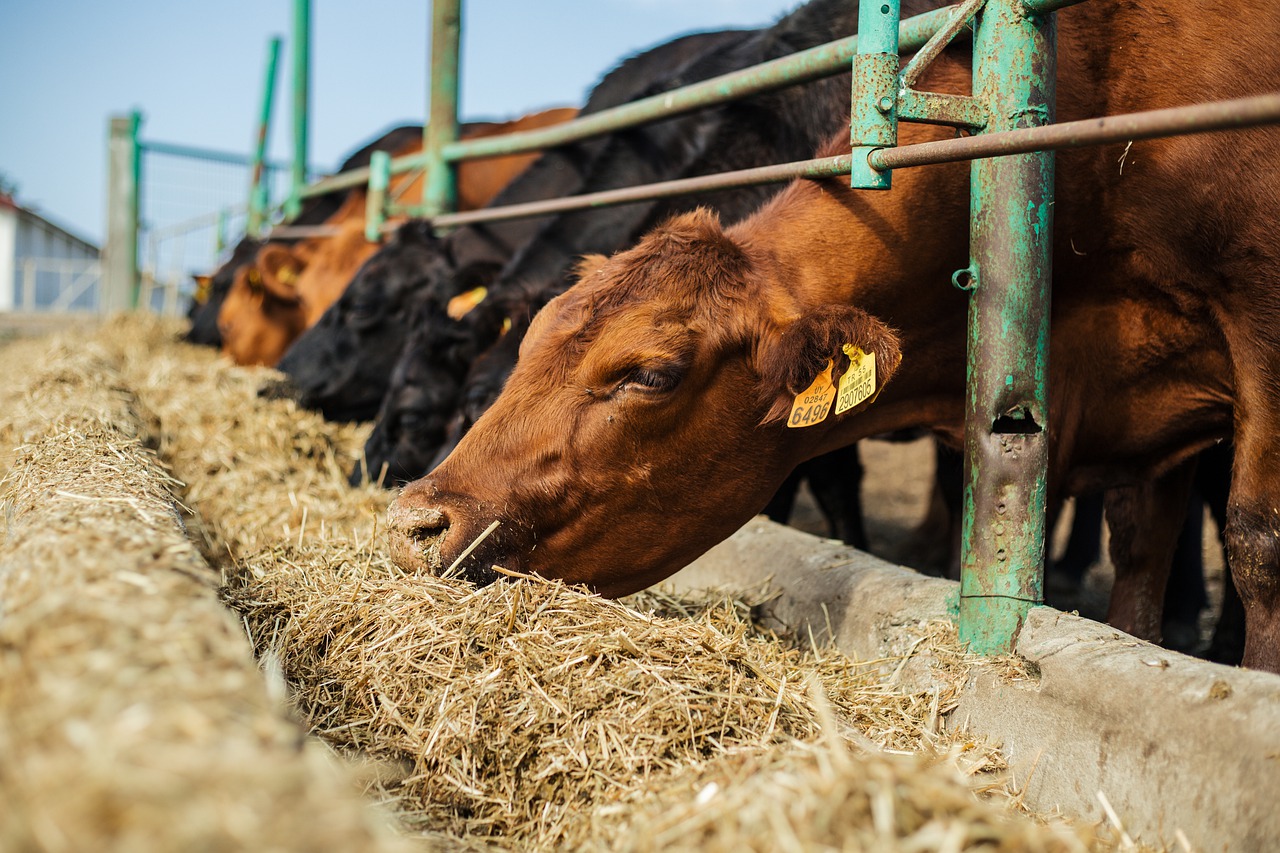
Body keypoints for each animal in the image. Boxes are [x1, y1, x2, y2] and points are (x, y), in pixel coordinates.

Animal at [386, 3, 1280, 666]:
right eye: (528, 346)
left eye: (651, 373)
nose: (414, 523)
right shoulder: (1146, 411)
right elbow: (1139, 553)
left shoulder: (1256, 314)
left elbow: (1256, 540)